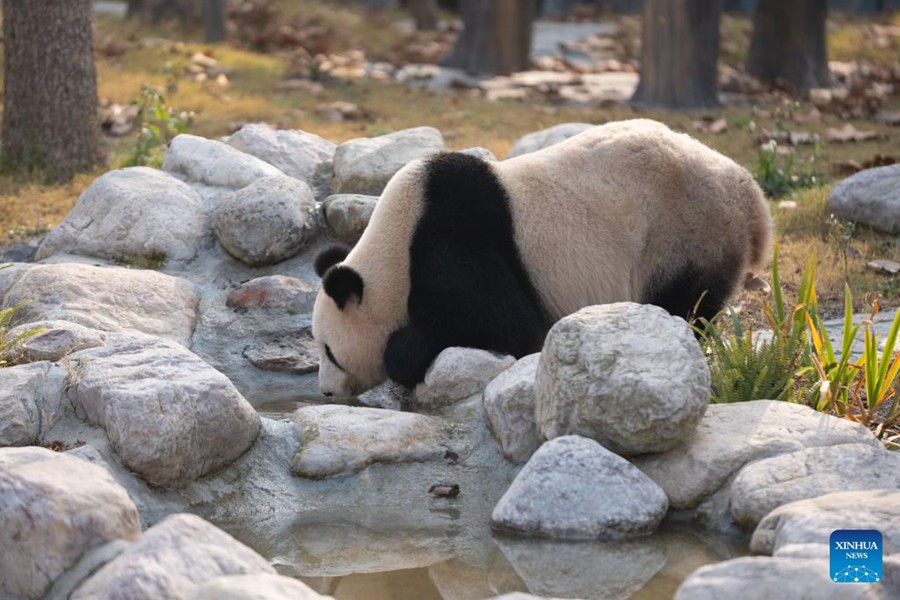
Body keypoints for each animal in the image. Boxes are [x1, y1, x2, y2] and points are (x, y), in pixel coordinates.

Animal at [312, 119, 772, 397]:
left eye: (330, 351)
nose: (326, 391)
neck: (394, 247)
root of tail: (751, 195)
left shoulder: (453, 240)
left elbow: (510, 327)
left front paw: (405, 352)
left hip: (685, 233)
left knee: (686, 302)